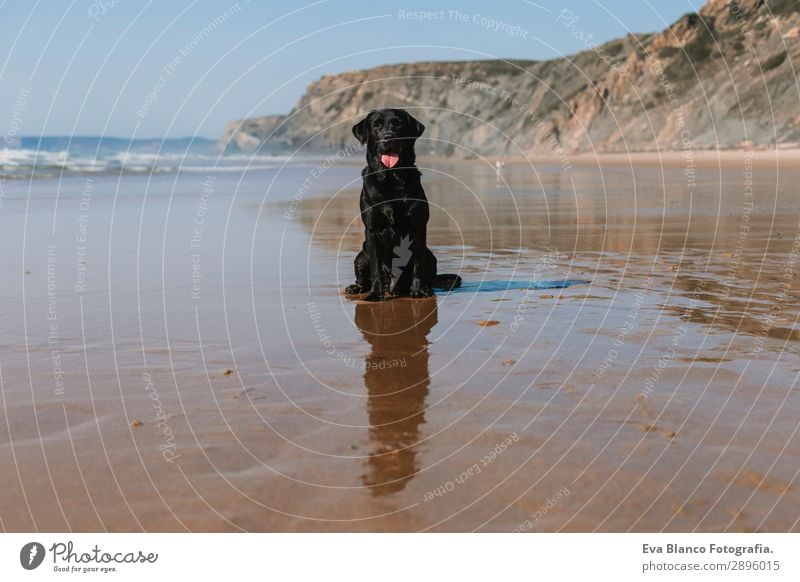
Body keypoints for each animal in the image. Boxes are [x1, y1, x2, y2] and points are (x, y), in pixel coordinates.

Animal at [344, 107, 462, 304]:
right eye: (376, 125)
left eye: (398, 124)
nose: (388, 137)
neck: (392, 179)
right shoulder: (372, 230)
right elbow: (376, 268)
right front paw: (375, 294)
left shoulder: (418, 227)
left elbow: (417, 264)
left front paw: (419, 291)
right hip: (361, 255)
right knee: (363, 275)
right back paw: (357, 287)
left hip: (430, 256)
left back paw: (426, 288)